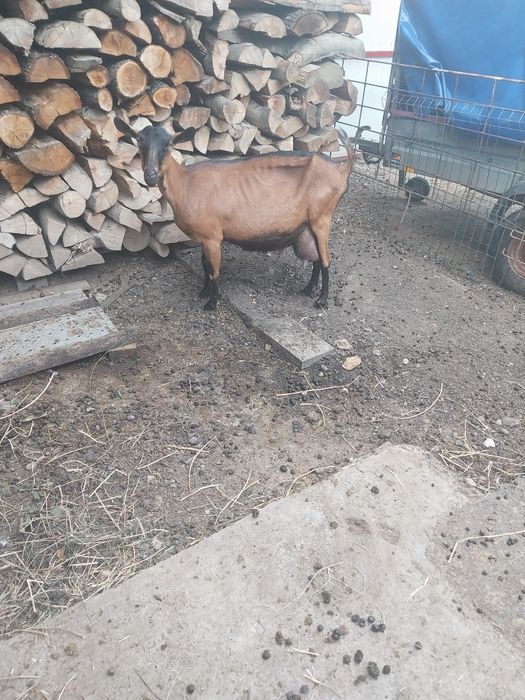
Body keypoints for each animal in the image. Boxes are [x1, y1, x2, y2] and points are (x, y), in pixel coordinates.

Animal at [115, 117, 360, 311]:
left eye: (168, 144)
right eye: (139, 141)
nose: (150, 175)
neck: (186, 183)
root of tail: (342, 169)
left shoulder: (213, 237)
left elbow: (214, 270)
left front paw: (211, 303)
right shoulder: (205, 237)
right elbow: (204, 265)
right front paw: (204, 292)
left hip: (322, 217)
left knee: (326, 259)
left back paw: (322, 300)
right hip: (309, 224)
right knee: (317, 258)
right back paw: (308, 289)